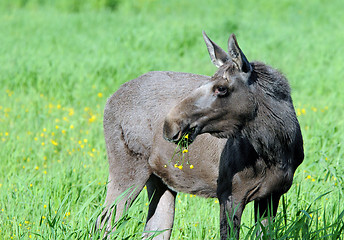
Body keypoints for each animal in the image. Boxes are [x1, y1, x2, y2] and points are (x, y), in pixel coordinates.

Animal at [97, 31, 304, 238]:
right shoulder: (229, 194)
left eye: (221, 88)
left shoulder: (272, 195)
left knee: (155, 228)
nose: (170, 124)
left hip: (160, 180)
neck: (276, 150)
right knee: (104, 222)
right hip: (127, 167)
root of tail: (109, 99)